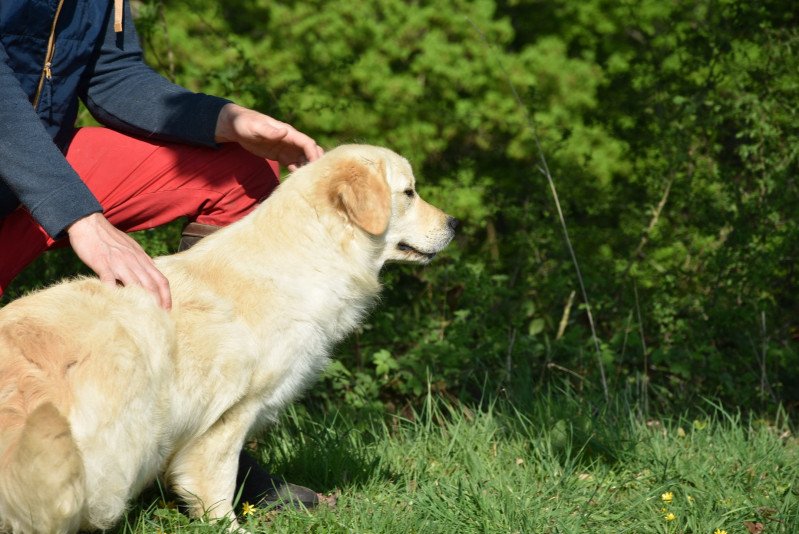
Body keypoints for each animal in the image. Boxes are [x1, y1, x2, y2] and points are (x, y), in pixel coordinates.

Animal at [0, 147, 456, 534]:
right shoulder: (228, 415)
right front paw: (229, 526)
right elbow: (216, 483)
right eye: (409, 192)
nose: (455, 224)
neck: (310, 254)